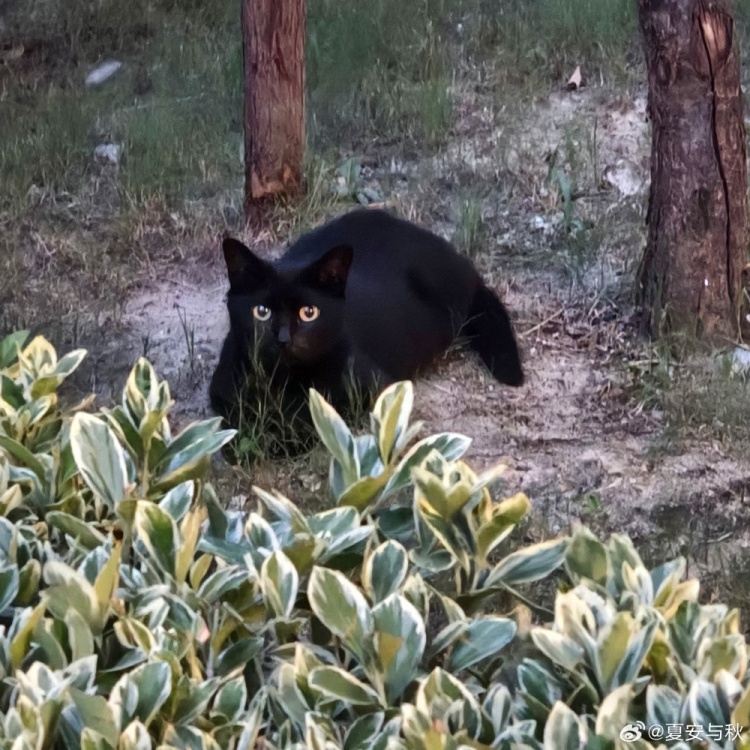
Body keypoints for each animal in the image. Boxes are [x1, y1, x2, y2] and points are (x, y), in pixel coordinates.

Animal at [209, 206, 524, 456]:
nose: (284, 338)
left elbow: (308, 426)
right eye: (261, 312)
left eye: (309, 313)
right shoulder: (220, 392)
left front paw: (268, 441)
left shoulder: (376, 391)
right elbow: (230, 426)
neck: (281, 382)